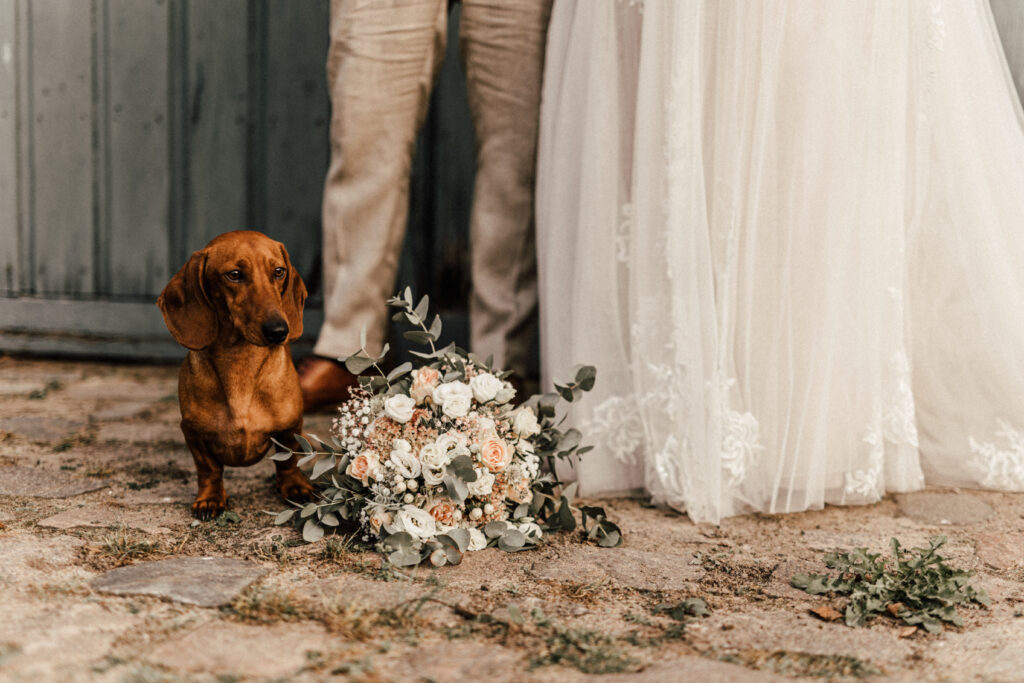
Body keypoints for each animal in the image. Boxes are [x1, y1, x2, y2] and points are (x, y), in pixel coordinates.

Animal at [155, 229, 313, 518]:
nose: (279, 331)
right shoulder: (192, 432)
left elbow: (289, 462)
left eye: (279, 271)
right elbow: (209, 469)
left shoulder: (291, 425)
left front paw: (296, 487)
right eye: (234, 274)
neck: (240, 364)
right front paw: (210, 498)